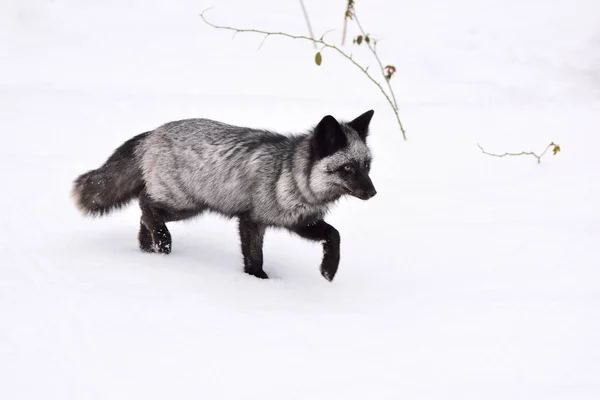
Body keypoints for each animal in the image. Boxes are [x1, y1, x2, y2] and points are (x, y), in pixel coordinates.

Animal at [72, 108, 378, 280]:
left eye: (366, 166)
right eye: (347, 168)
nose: (373, 192)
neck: (287, 176)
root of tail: (153, 133)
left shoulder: (298, 222)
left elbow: (334, 235)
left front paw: (329, 269)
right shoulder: (252, 220)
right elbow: (254, 258)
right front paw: (258, 283)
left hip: (188, 207)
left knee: (143, 216)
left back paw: (149, 249)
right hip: (185, 204)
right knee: (145, 204)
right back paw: (162, 243)